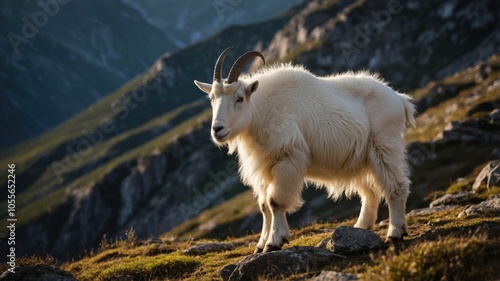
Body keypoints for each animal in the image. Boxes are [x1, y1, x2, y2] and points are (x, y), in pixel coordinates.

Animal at [193, 47, 416, 253]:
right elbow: (264, 206)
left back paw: (395, 232)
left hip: (385, 145)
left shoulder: (287, 158)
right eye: (211, 98)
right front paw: (260, 244)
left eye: (239, 98)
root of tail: (399, 99)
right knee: (370, 191)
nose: (217, 129)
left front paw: (274, 241)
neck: (260, 110)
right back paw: (361, 227)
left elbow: (274, 202)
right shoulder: (264, 168)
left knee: (396, 186)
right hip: (362, 159)